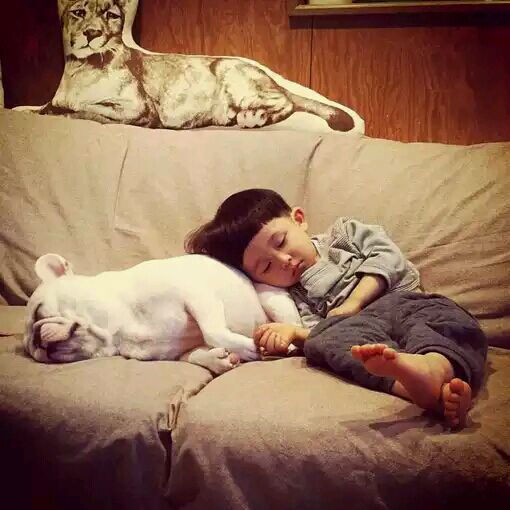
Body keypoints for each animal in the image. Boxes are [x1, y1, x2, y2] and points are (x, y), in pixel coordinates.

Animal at [24, 253, 301, 374]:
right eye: (29, 351)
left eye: (38, 311)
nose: (34, 340)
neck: (117, 331)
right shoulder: (178, 350)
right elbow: (194, 355)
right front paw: (219, 359)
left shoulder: (194, 293)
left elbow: (212, 331)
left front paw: (248, 347)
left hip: (272, 299)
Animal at [38, 0, 362, 132]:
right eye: (79, 13)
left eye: (111, 15)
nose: (92, 33)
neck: (80, 69)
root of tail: (268, 75)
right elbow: (51, 107)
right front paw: (49, 111)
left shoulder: (140, 109)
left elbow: (88, 109)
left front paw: (70, 113)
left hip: (231, 72)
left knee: (285, 100)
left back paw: (251, 117)